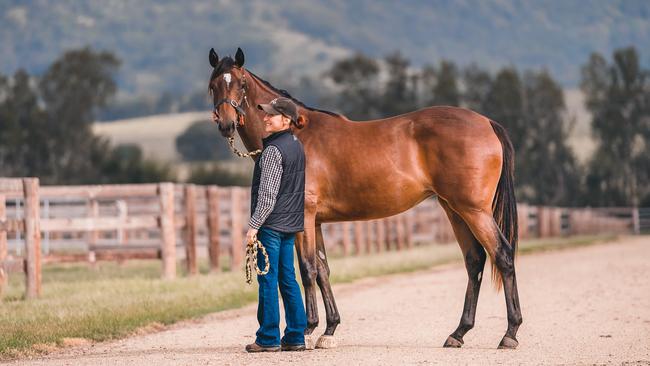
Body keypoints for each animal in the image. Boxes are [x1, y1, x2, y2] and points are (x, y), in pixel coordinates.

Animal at [208, 48, 520, 348]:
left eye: (241, 84)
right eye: (213, 85)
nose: (226, 124)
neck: (296, 133)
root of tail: (487, 122)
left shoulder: (304, 218)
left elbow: (307, 270)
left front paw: (307, 331)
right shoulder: (316, 222)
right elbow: (323, 270)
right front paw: (329, 329)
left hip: (474, 211)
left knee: (502, 256)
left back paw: (510, 333)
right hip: (454, 210)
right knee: (474, 260)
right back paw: (459, 333)